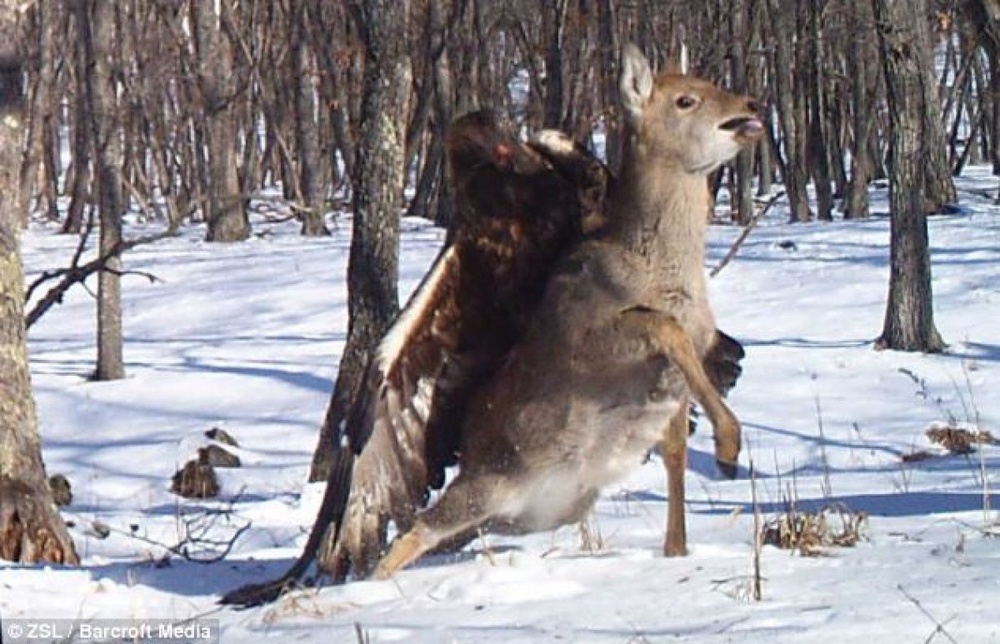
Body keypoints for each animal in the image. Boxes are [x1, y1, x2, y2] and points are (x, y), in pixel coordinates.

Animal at [372, 45, 760, 580]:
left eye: (709, 82)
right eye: (686, 99)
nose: (752, 106)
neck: (663, 273)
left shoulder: (684, 373)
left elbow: (676, 453)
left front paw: (678, 547)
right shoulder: (587, 340)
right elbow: (660, 325)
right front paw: (727, 448)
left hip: (539, 508)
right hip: (488, 483)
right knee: (415, 530)